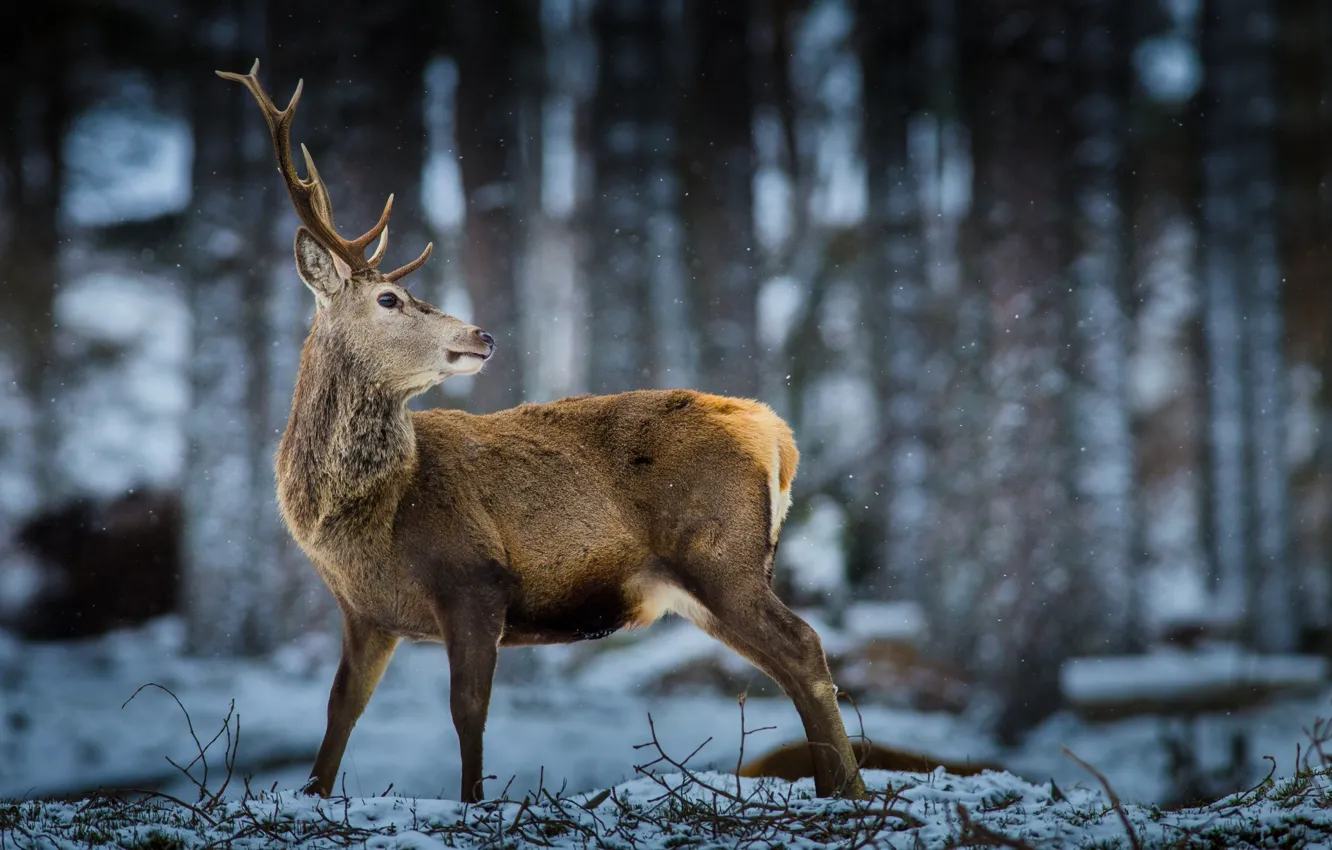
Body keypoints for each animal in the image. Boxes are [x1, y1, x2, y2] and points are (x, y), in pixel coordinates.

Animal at [214, 59, 868, 804]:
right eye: (389, 299)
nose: (483, 335)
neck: (368, 518)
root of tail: (776, 433)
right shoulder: (366, 612)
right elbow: (340, 713)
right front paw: (315, 793)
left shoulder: (474, 578)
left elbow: (468, 711)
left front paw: (474, 802)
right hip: (706, 580)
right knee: (788, 662)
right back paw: (838, 788)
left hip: (719, 553)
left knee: (804, 646)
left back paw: (851, 792)